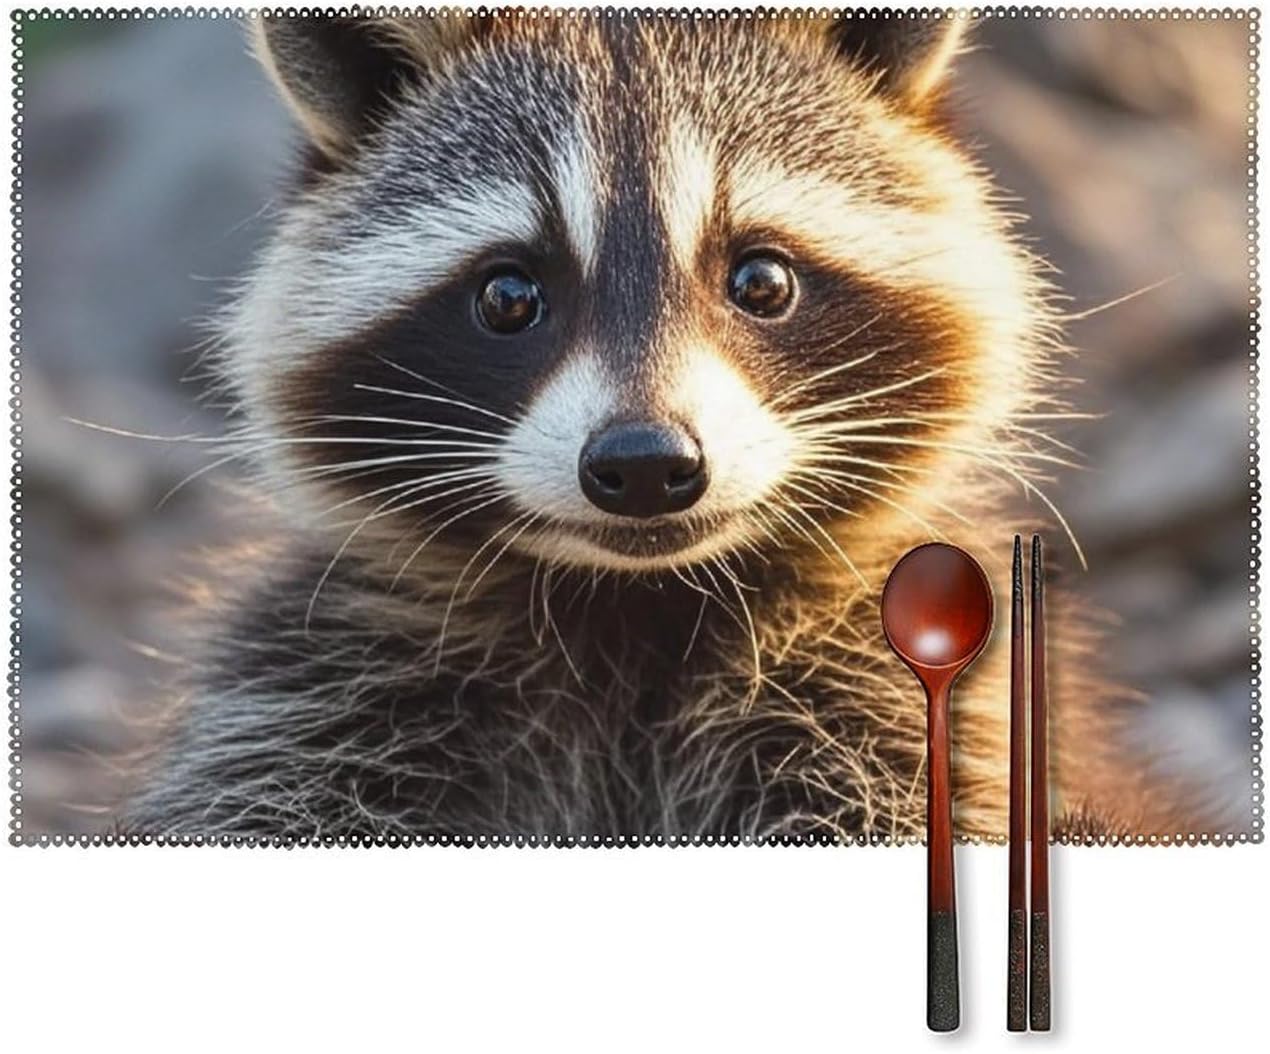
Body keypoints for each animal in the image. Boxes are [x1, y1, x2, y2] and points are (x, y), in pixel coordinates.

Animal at [124, 10, 1189, 841]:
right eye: (509, 296)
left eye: (761, 280)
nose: (643, 463)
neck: (636, 612)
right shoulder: (306, 691)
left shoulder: (895, 702)